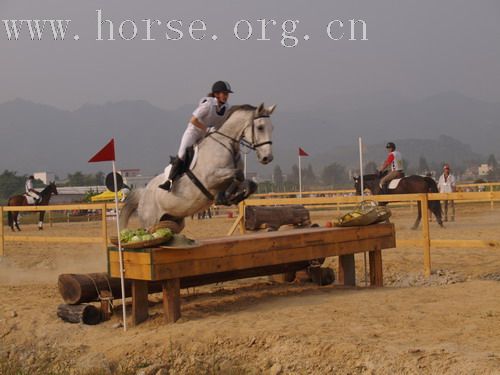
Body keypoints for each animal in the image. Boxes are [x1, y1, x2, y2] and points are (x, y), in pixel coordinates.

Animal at [120, 104, 276, 231]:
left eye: (272, 128)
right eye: (260, 127)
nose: (267, 158)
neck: (227, 145)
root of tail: (143, 193)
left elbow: (250, 183)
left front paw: (233, 197)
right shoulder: (211, 177)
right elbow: (238, 174)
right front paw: (224, 196)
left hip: (173, 220)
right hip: (150, 221)